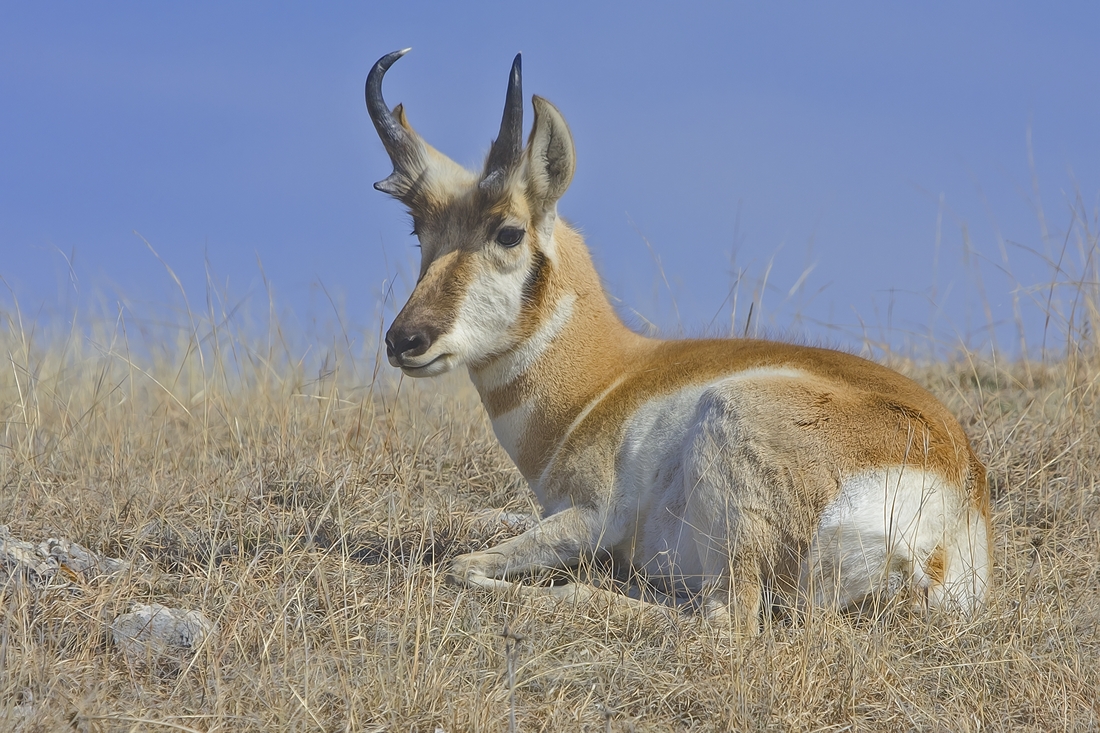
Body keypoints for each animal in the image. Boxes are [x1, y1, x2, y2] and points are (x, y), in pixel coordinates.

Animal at [365, 50, 994, 629]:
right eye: (420, 229)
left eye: (509, 232)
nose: (405, 340)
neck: (605, 381)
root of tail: (955, 494)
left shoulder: (588, 515)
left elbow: (464, 565)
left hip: (727, 430)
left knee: (719, 617)